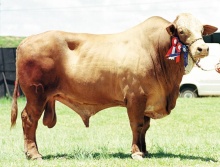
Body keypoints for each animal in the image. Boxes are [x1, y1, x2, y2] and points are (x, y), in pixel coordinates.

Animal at [10, 12, 218, 159]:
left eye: (201, 30)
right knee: (29, 119)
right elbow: (136, 125)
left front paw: (145, 150)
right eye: (181, 31)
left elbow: (145, 127)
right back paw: (34, 154)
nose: (203, 48)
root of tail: (26, 41)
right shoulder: (135, 97)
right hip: (36, 95)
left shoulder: (147, 100)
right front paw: (136, 152)